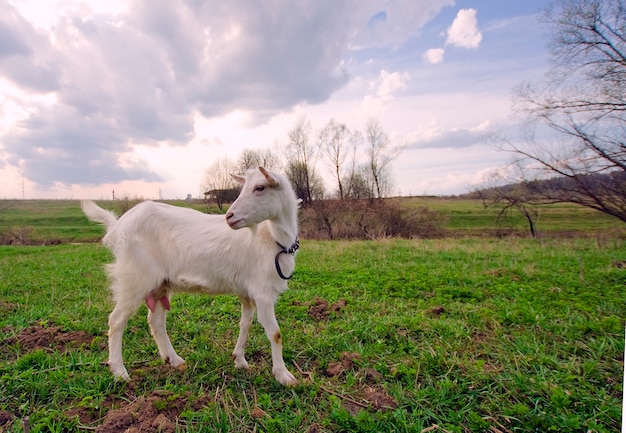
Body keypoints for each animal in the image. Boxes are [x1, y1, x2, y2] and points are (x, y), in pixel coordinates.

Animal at [80, 166, 300, 384]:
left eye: (260, 187)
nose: (229, 216)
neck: (272, 238)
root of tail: (116, 227)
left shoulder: (247, 291)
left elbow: (245, 325)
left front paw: (240, 360)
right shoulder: (263, 291)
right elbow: (275, 333)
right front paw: (284, 376)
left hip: (160, 284)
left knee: (155, 321)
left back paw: (174, 360)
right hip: (135, 277)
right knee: (116, 320)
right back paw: (119, 371)